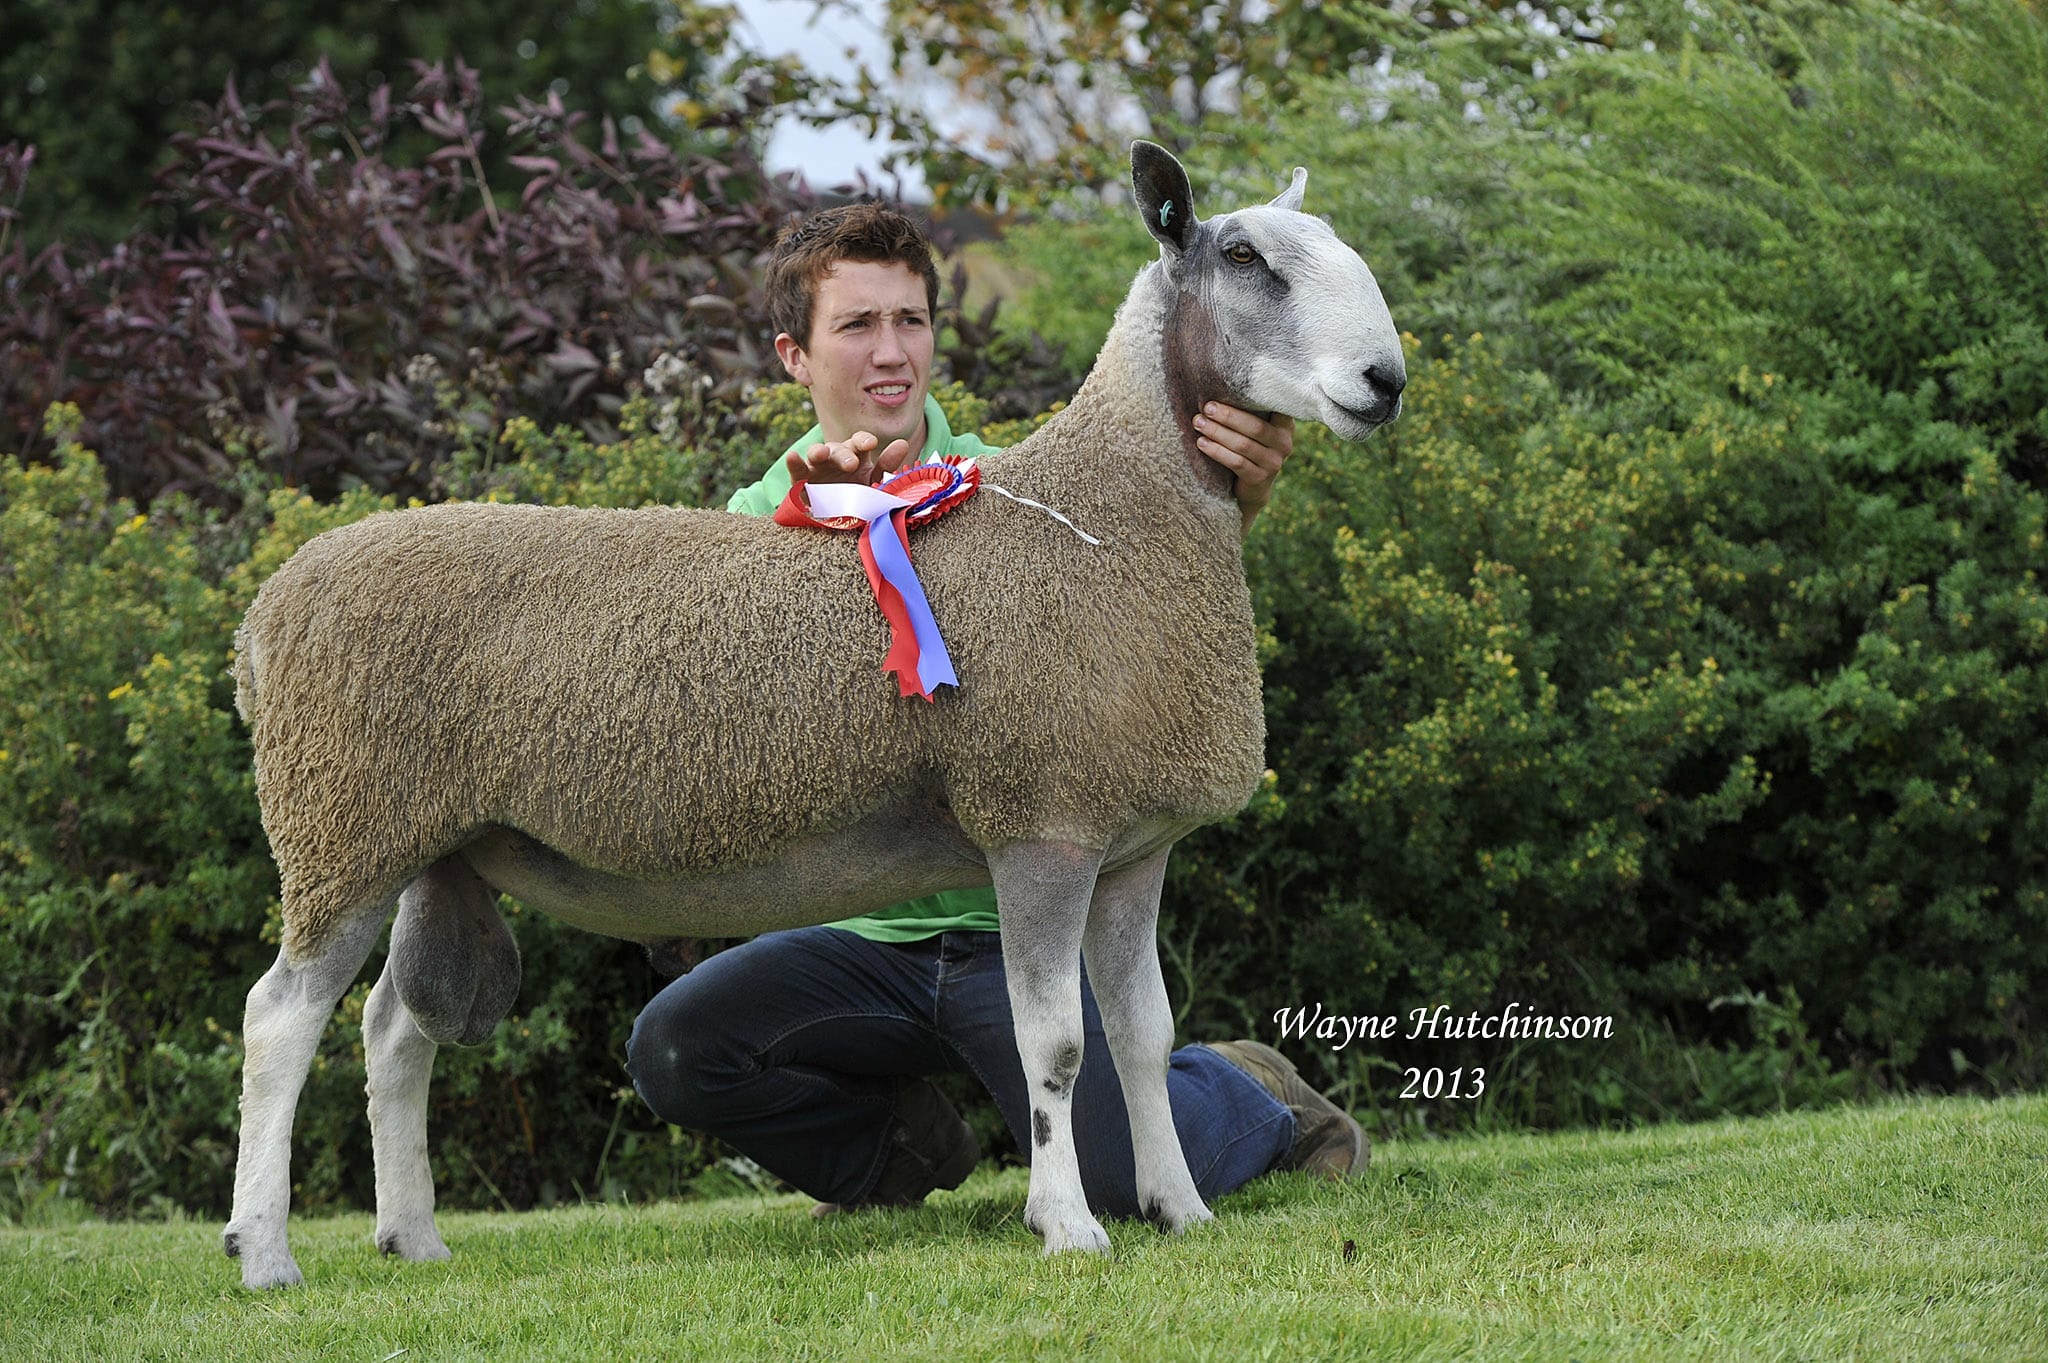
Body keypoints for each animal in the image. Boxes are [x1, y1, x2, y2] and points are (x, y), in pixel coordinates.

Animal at [224, 140, 1409, 1285]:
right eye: (1245, 258)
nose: (1385, 381)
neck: (1104, 517)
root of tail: (265, 614)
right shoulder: (1041, 821)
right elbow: (1058, 1049)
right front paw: (1069, 1225)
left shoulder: (1128, 844)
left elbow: (1142, 1036)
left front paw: (1179, 1208)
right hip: (341, 823)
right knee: (280, 1019)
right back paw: (265, 1252)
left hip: (430, 840)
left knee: (392, 1029)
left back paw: (412, 1236)